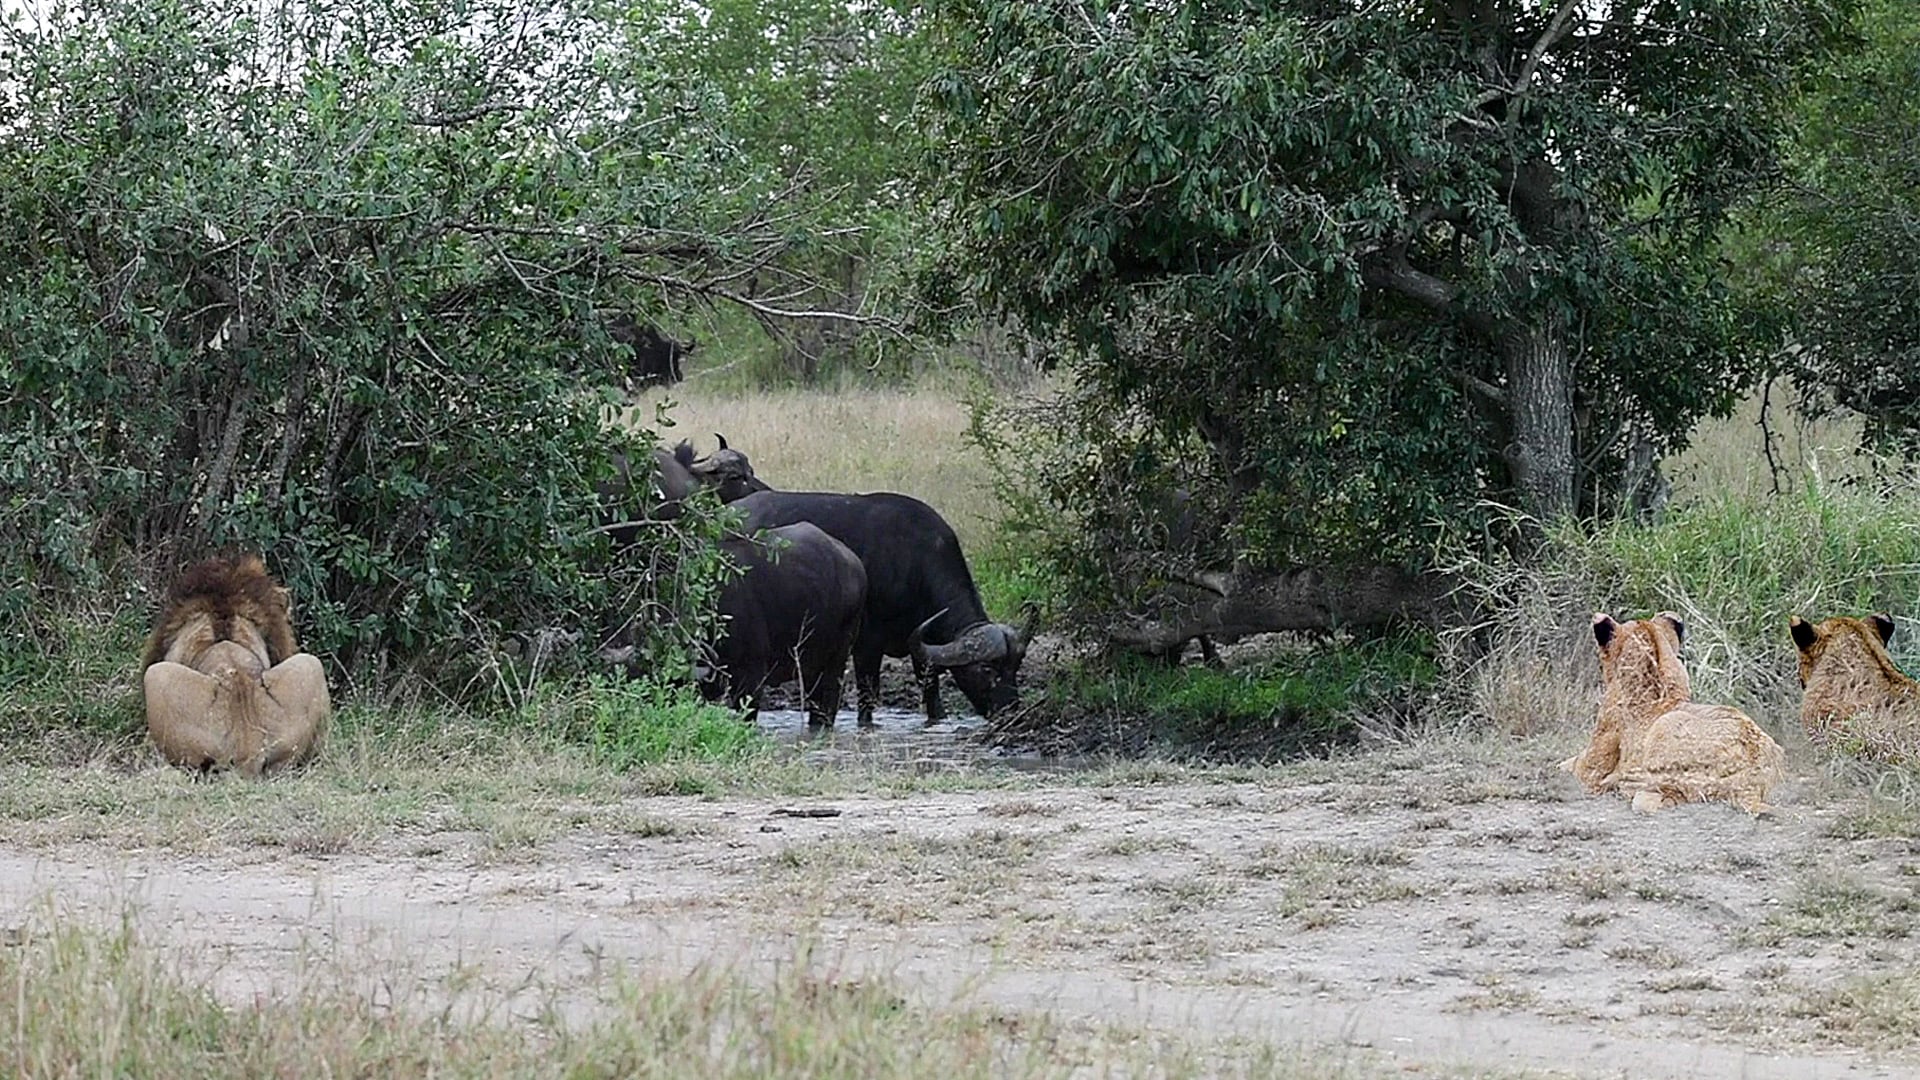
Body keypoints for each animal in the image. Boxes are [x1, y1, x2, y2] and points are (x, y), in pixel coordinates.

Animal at [732, 490, 1031, 725]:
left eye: (1015, 667)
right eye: (987, 669)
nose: (1011, 712)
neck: (914, 564)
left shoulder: (922, 648)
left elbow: (931, 694)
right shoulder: (867, 645)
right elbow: (868, 699)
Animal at [1560, 611, 1785, 815]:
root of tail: (1752, 782)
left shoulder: (1591, 770)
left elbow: (1567, 765)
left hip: (1666, 725)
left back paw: (1629, 782)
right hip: (1775, 748)